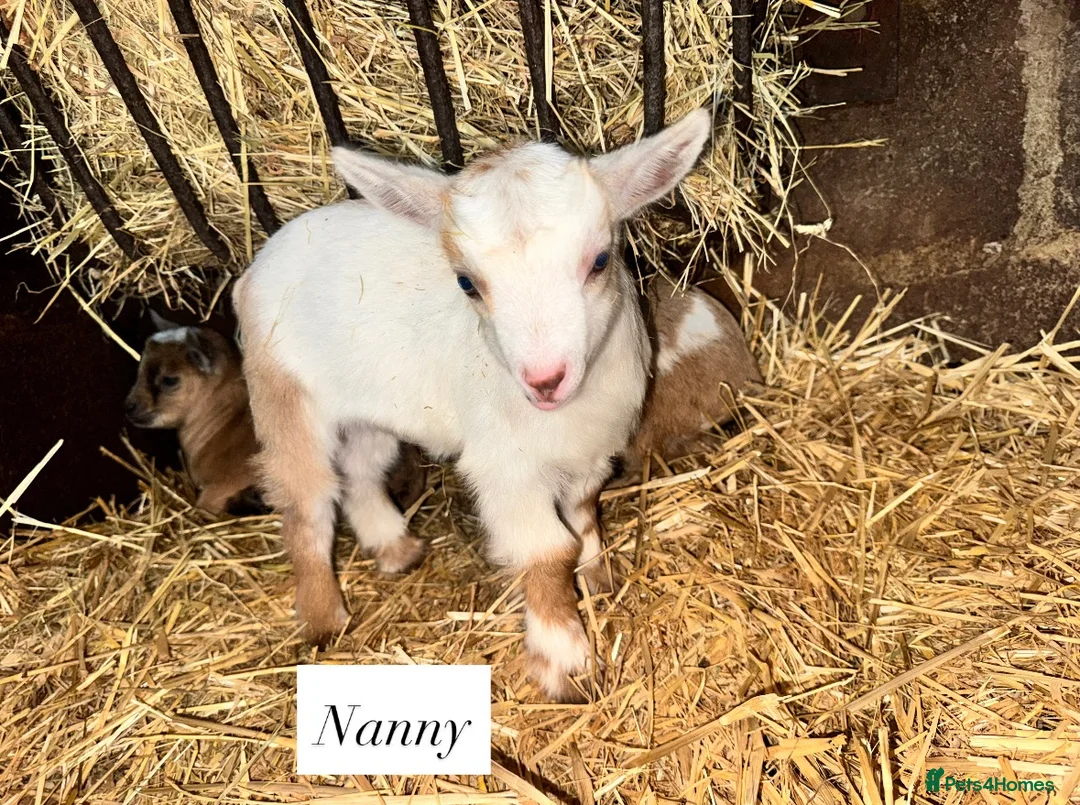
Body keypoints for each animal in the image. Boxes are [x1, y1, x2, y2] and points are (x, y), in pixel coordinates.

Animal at [233, 109, 711, 701]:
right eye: (466, 283)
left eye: (600, 261)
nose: (545, 381)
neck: (565, 415)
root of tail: (255, 270)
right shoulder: (506, 470)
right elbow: (548, 551)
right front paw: (564, 662)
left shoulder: (591, 451)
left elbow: (583, 513)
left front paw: (598, 578)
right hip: (284, 397)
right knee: (309, 504)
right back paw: (325, 620)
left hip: (369, 412)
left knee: (361, 472)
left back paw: (395, 548)